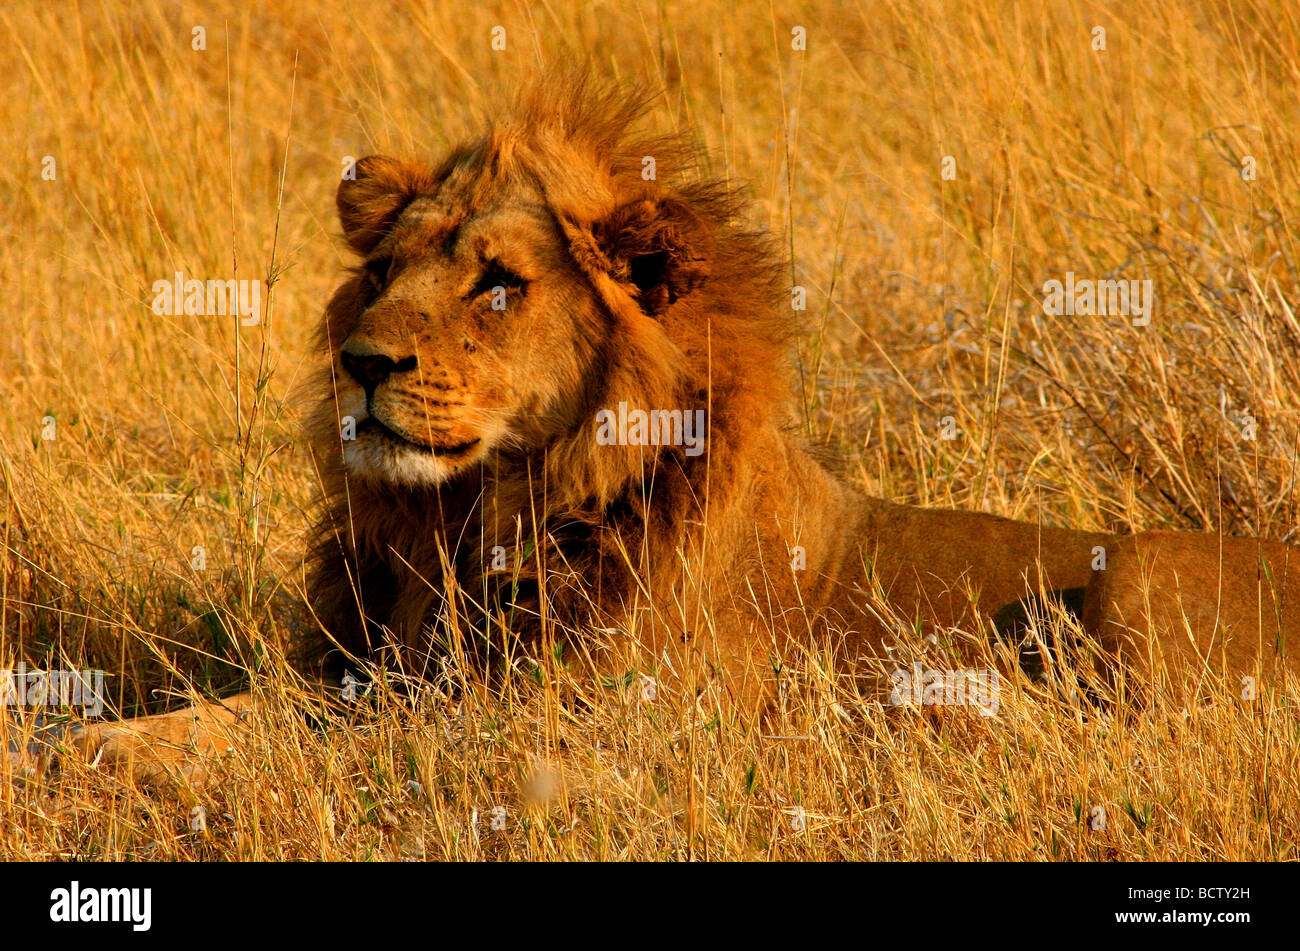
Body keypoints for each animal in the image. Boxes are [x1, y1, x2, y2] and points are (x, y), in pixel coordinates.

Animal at [63, 70, 1300, 774]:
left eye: (497, 285)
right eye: (381, 273)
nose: (362, 364)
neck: (473, 517)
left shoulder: (579, 722)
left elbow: (317, 735)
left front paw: (115, 753)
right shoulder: (384, 661)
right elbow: (275, 702)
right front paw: (100, 735)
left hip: (1134, 576)